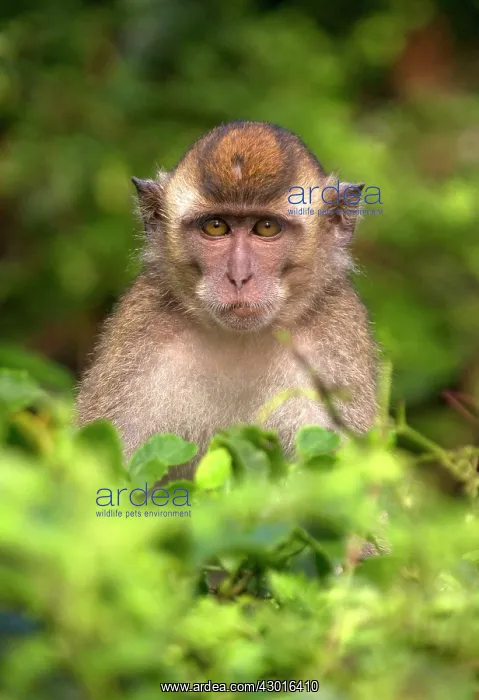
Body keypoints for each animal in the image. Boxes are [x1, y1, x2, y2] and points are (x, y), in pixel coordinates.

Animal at [76, 121, 378, 480]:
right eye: (216, 226)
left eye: (266, 227)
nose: (238, 277)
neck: (242, 340)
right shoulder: (141, 329)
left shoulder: (336, 339)